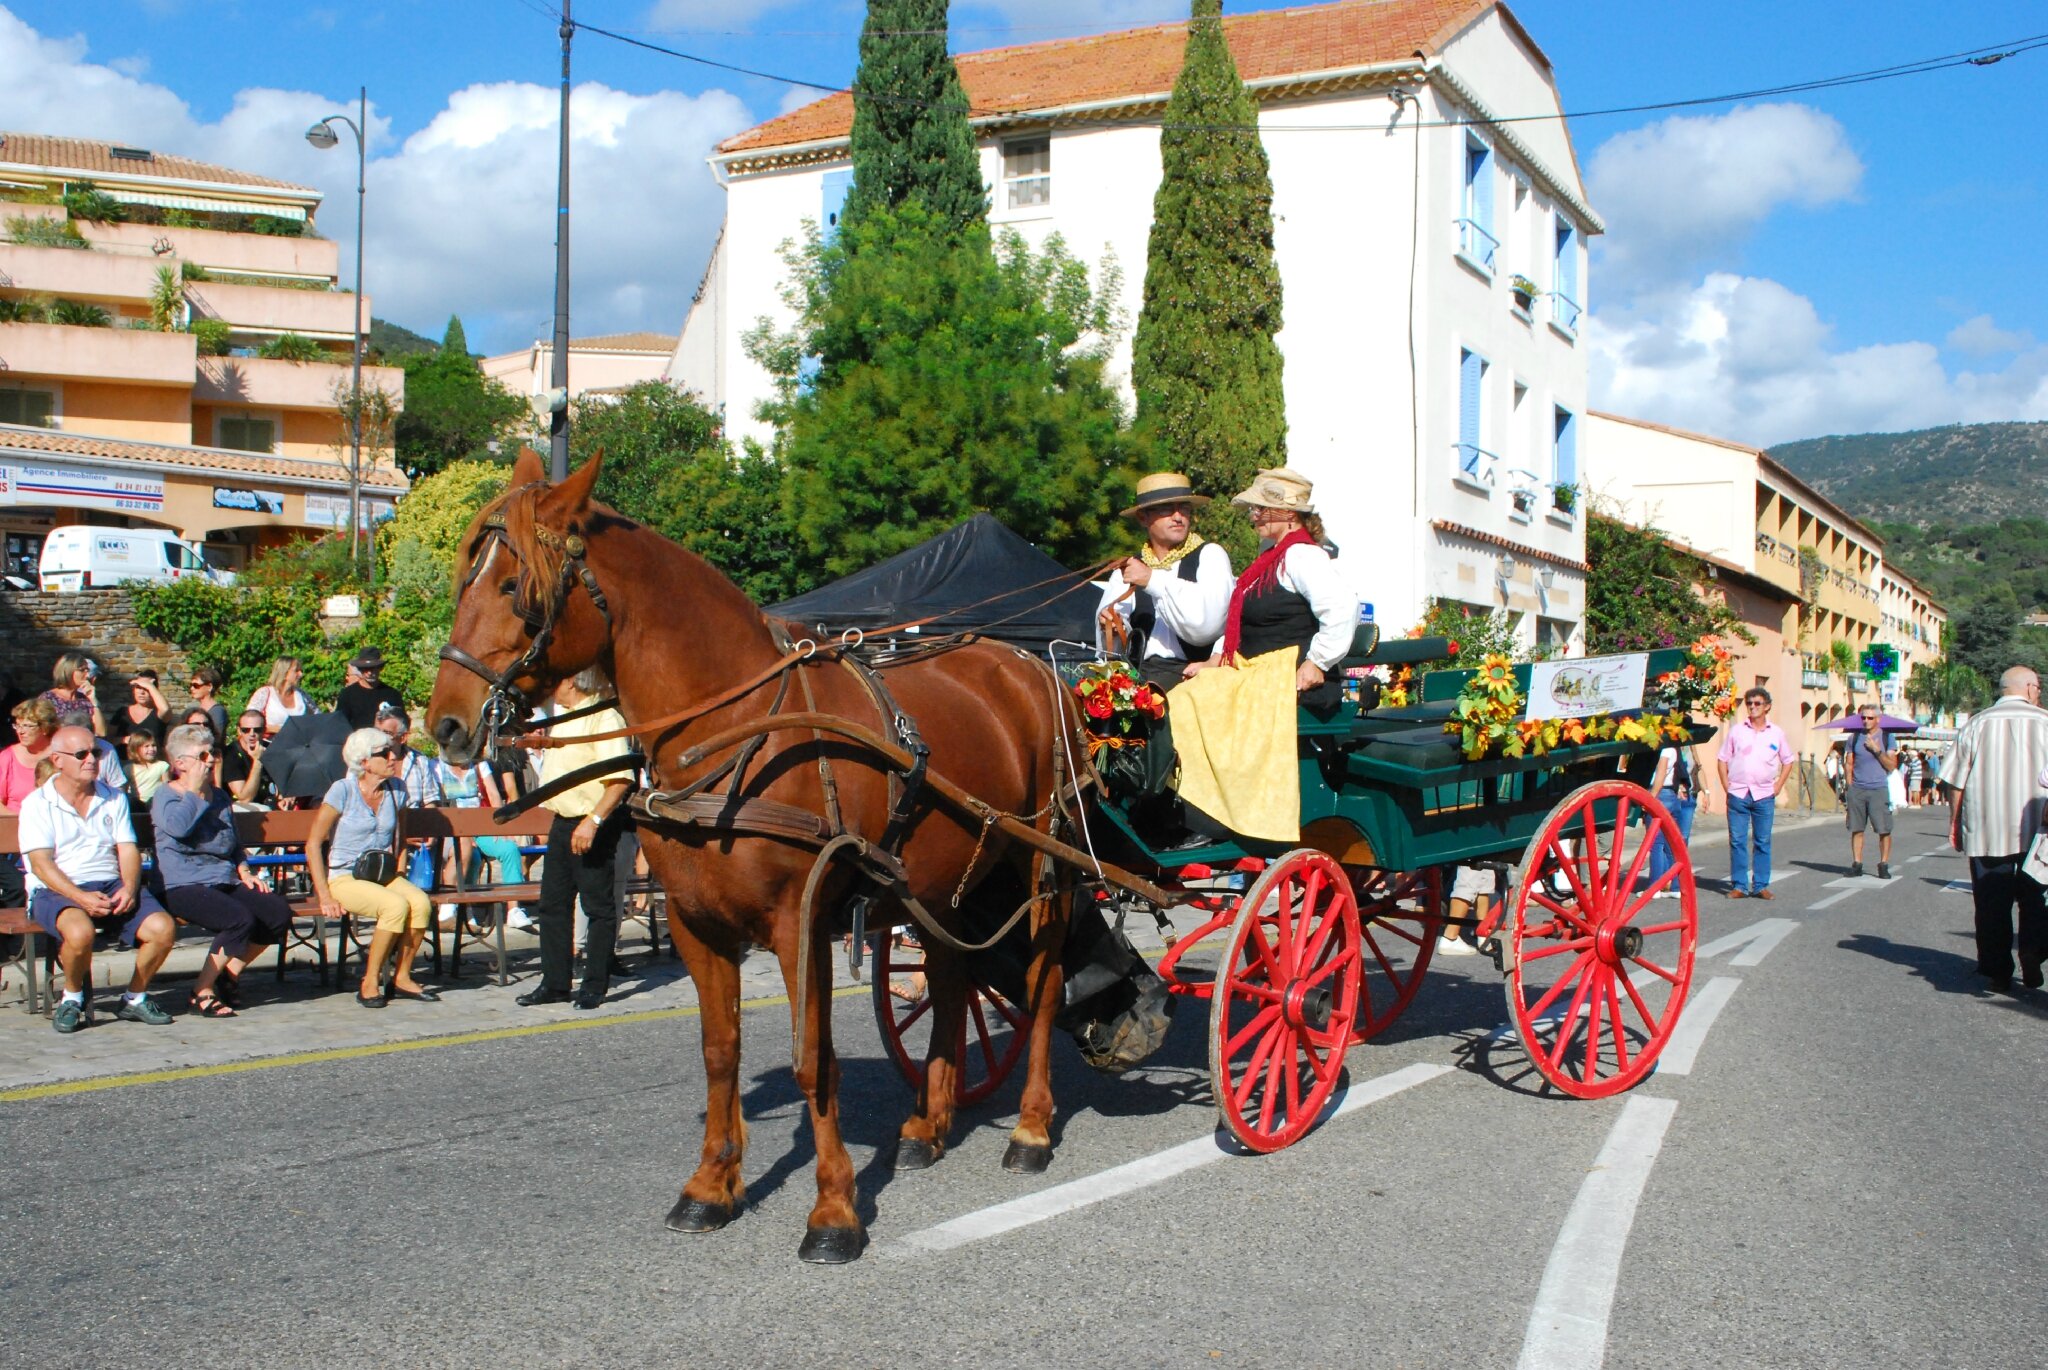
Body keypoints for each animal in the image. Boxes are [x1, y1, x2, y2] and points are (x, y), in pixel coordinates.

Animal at [423, 448, 1081, 1261]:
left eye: (516, 589)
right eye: (466, 579)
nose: (445, 724)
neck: (735, 730)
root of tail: (1029, 665)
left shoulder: (801, 924)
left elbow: (813, 1058)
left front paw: (834, 1210)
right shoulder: (697, 925)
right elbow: (720, 1053)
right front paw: (711, 1186)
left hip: (1045, 868)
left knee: (1043, 984)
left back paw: (1029, 1128)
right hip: (940, 882)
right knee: (955, 979)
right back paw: (930, 1124)